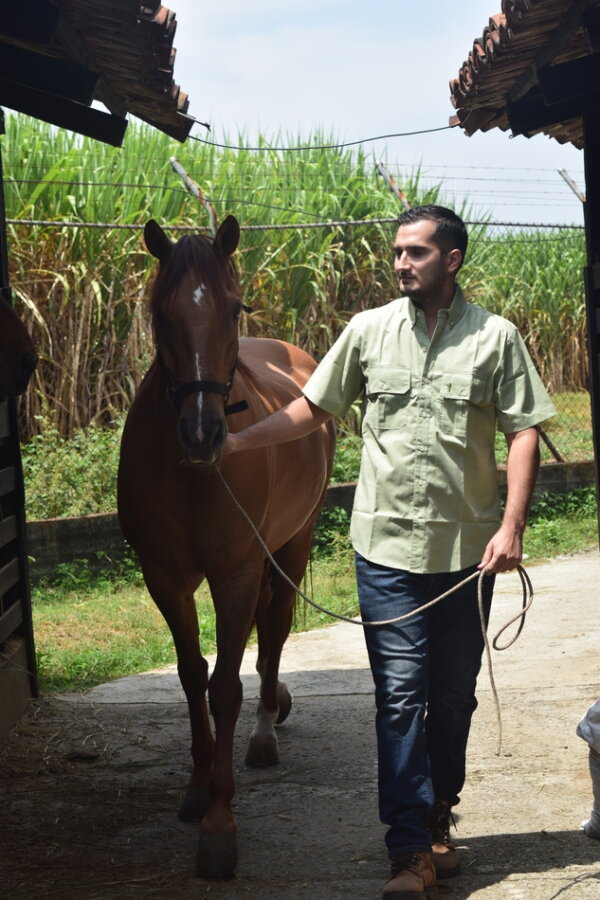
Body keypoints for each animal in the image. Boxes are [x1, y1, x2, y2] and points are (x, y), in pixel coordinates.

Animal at [117, 216, 332, 880]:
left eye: (234, 308)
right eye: (159, 313)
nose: (202, 433)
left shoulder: (235, 574)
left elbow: (226, 687)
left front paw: (218, 825)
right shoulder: (164, 578)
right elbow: (192, 678)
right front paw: (194, 790)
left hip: (291, 544)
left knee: (276, 631)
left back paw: (263, 733)